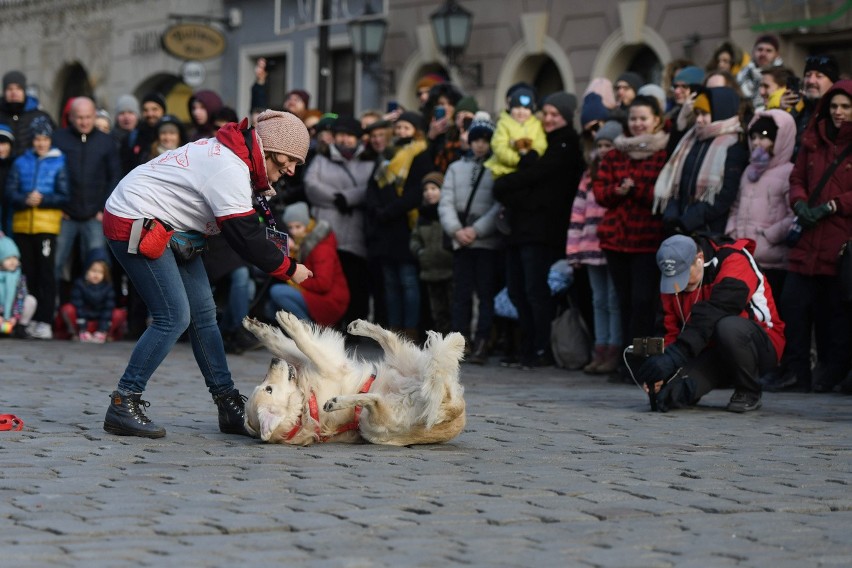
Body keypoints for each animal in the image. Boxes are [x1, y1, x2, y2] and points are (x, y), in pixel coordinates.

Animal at [240, 312, 466, 446]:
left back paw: (360, 326)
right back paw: (336, 402)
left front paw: (259, 327)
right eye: (268, 389)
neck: (305, 406)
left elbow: (283, 344)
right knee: (374, 400)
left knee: (388, 337)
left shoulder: (308, 363)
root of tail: (454, 409)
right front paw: (289, 325)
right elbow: (306, 345)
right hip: (376, 424)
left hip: (402, 361)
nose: (273, 362)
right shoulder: (331, 365)